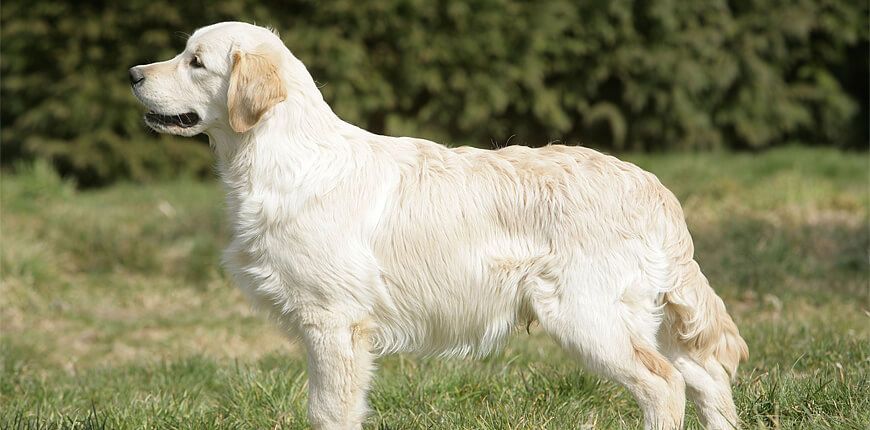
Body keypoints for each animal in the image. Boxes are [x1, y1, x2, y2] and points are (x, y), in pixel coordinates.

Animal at [129, 21, 748, 428]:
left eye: (195, 61)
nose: (133, 73)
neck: (286, 157)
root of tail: (652, 187)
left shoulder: (333, 323)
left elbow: (328, 412)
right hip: (647, 315)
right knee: (707, 378)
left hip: (586, 315)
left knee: (664, 385)